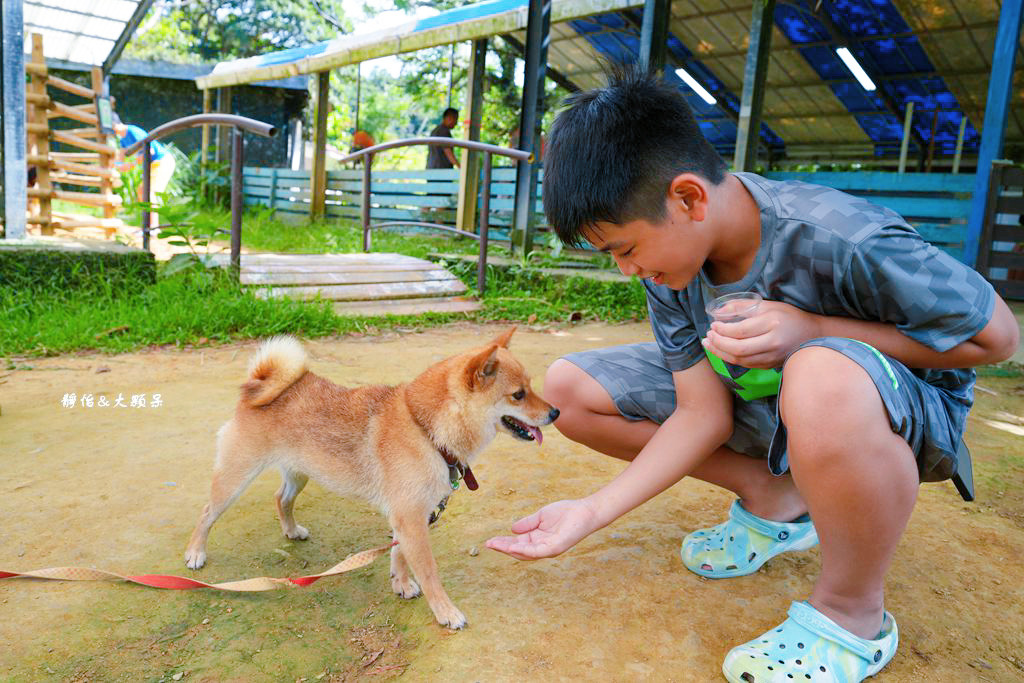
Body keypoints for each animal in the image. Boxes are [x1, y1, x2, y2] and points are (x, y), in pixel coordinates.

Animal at [183, 327, 552, 626]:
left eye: (531, 387)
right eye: (518, 394)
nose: (555, 411)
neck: (425, 429)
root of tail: (256, 385)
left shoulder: (410, 516)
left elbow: (398, 553)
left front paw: (401, 583)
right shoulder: (410, 518)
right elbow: (429, 572)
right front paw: (446, 612)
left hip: (300, 474)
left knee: (281, 498)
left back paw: (291, 530)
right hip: (235, 479)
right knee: (206, 512)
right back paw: (196, 553)